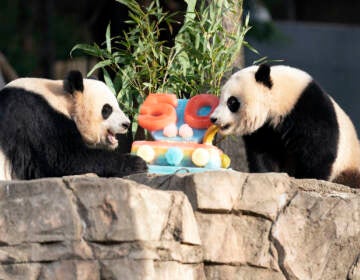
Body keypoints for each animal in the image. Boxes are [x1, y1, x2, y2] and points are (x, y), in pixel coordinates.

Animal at [210, 64, 360, 188]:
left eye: (232, 102)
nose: (213, 118)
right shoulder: (265, 129)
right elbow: (262, 151)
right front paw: (267, 174)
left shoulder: (309, 108)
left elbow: (319, 150)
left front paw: (310, 178)